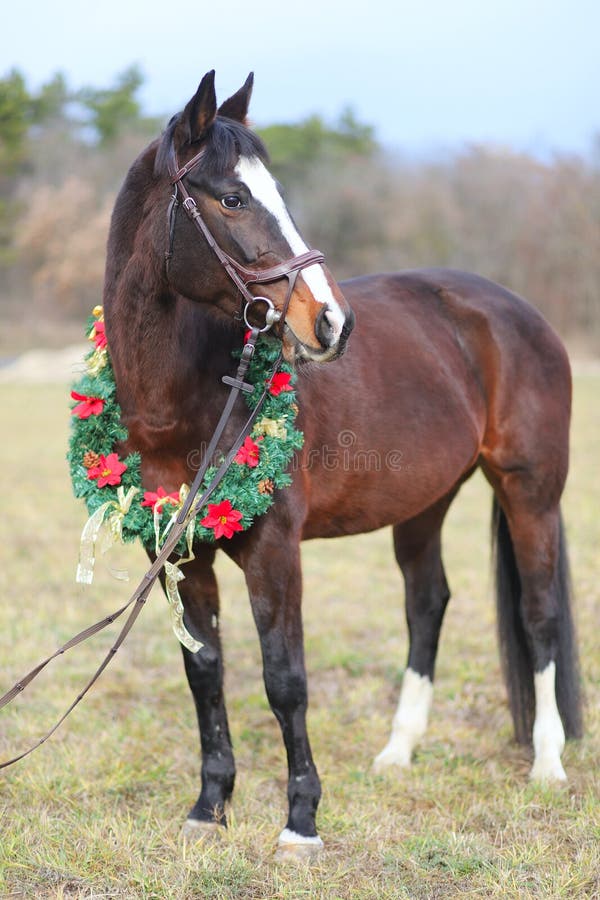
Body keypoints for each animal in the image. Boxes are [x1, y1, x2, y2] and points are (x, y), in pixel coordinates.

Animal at [102, 70, 580, 856]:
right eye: (232, 198)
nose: (331, 322)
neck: (185, 397)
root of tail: (515, 311)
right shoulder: (181, 554)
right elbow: (205, 671)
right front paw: (210, 807)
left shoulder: (274, 551)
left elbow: (284, 679)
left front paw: (300, 822)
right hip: (425, 502)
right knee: (427, 603)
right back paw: (398, 752)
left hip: (529, 492)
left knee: (538, 614)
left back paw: (547, 764)